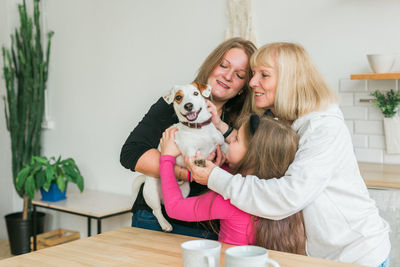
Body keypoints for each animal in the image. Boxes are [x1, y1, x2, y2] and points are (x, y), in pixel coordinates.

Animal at [132, 83, 228, 232]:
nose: (188, 105)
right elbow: (193, 155)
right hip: (151, 193)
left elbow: (225, 148)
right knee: (157, 210)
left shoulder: (221, 143)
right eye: (178, 97)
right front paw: (198, 160)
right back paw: (165, 224)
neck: (199, 129)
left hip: (184, 191)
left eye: (196, 93)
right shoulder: (189, 150)